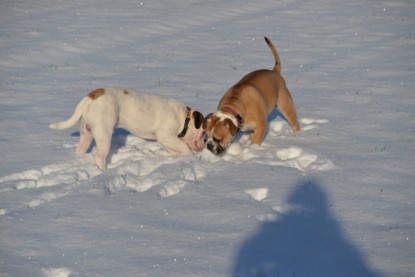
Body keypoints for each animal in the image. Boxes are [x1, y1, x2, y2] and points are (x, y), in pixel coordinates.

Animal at [49, 87, 206, 169]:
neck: (184, 118)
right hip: (103, 132)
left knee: (81, 148)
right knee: (100, 155)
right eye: (203, 133)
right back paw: (104, 171)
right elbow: (184, 148)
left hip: (86, 131)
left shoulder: (166, 141)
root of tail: (92, 96)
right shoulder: (166, 137)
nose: (203, 144)